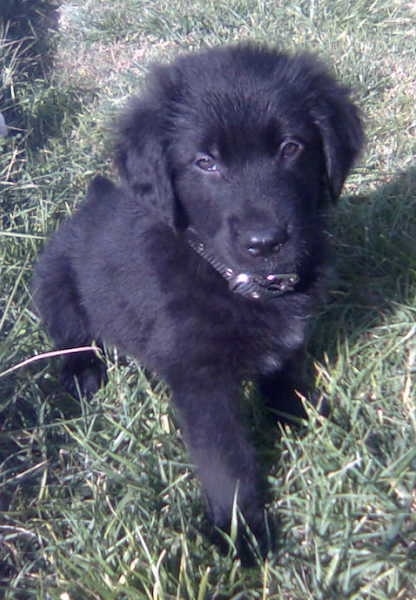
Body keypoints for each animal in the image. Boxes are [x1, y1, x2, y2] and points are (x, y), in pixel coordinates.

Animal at [33, 43, 364, 564]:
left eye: (291, 148)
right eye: (206, 162)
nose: (265, 242)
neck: (222, 273)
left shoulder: (286, 343)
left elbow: (287, 377)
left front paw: (309, 420)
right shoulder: (200, 380)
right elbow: (226, 461)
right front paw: (243, 534)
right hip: (54, 285)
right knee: (70, 338)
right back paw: (83, 375)